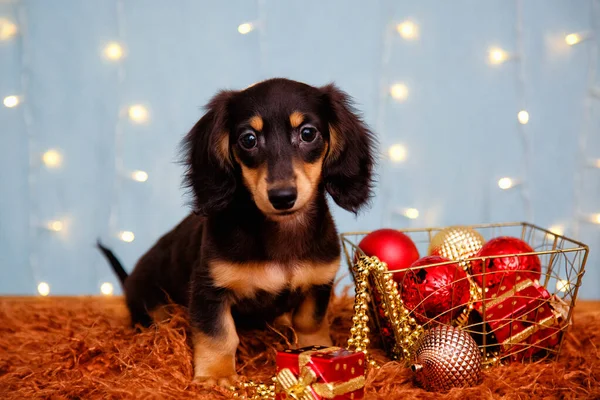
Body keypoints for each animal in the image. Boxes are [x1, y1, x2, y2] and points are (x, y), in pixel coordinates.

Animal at [98, 76, 376, 386]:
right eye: (249, 139)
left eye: (307, 133)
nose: (282, 196)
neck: (280, 234)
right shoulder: (209, 289)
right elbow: (219, 335)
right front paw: (216, 375)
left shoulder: (319, 283)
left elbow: (309, 322)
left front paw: (318, 349)